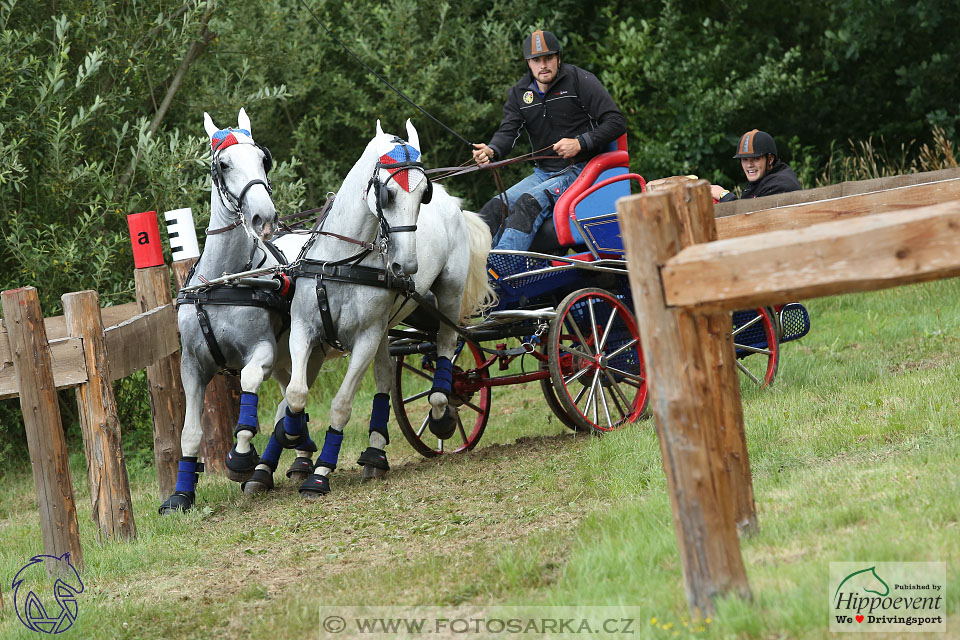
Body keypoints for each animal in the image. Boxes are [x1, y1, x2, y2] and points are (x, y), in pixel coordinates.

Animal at [160, 107, 318, 512]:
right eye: (223, 164)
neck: (226, 281)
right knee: (289, 397)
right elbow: (190, 432)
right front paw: (181, 494)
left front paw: (242, 457)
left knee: (291, 397)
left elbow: (247, 386)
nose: (264, 217)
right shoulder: (192, 365)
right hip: (286, 360)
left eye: (264, 159)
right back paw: (296, 456)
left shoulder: (261, 352)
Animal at [274, 119, 492, 496]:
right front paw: (292, 433)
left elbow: (341, 405)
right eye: (386, 194)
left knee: (446, 345)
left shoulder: (364, 338)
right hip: (384, 329)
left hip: (447, 293)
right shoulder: (304, 328)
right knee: (385, 377)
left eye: (422, 195)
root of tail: (452, 201)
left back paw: (441, 411)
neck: (342, 262)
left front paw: (321, 473)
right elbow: (297, 393)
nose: (406, 267)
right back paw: (375, 455)